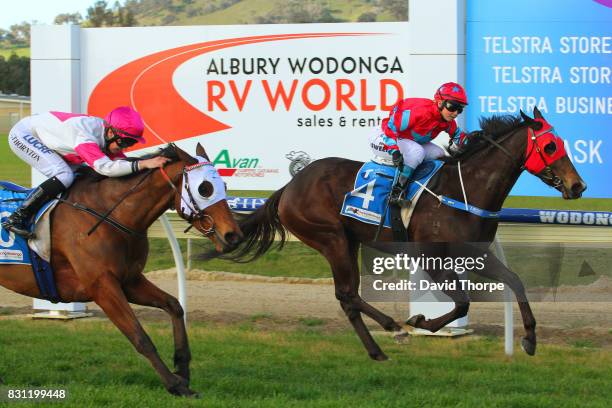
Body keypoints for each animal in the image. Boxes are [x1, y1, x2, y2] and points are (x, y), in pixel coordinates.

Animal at [0, 143, 244, 396]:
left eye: (224, 186)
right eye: (204, 189)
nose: (234, 236)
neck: (111, 214)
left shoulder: (130, 280)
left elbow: (174, 306)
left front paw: (182, 369)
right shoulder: (102, 287)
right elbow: (140, 336)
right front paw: (174, 384)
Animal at [221, 108, 588, 360]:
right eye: (551, 146)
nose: (578, 186)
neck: (465, 189)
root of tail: (290, 186)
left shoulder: (476, 254)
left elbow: (514, 281)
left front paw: (530, 339)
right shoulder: (432, 258)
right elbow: (462, 302)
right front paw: (420, 321)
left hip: (348, 242)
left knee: (347, 298)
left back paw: (377, 350)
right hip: (331, 238)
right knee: (348, 295)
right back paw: (394, 328)